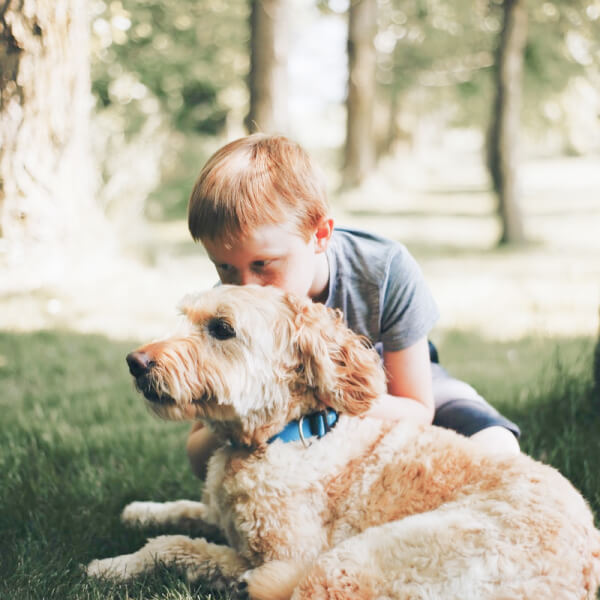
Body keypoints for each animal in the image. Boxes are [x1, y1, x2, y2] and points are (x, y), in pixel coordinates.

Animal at [86, 284, 600, 596]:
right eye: (188, 318)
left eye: (222, 329)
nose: (135, 362)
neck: (285, 434)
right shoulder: (224, 515)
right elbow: (187, 511)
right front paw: (141, 511)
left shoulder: (284, 554)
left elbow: (176, 546)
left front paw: (112, 566)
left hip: (348, 564)